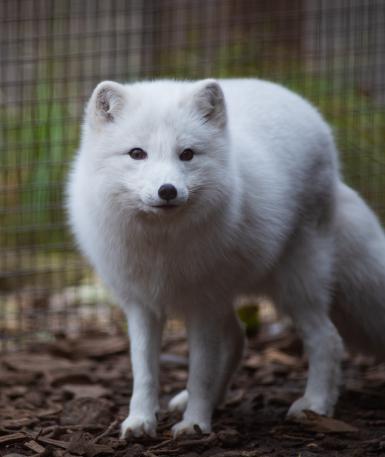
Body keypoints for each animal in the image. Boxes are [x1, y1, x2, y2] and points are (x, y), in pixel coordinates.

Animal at [67, 78, 384, 438]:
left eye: (187, 154)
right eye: (137, 153)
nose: (167, 191)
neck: (161, 244)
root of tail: (303, 105)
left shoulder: (202, 305)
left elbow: (200, 370)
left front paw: (194, 423)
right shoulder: (141, 304)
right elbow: (144, 371)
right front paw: (140, 421)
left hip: (296, 284)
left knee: (326, 338)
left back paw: (315, 405)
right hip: (234, 292)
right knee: (238, 338)